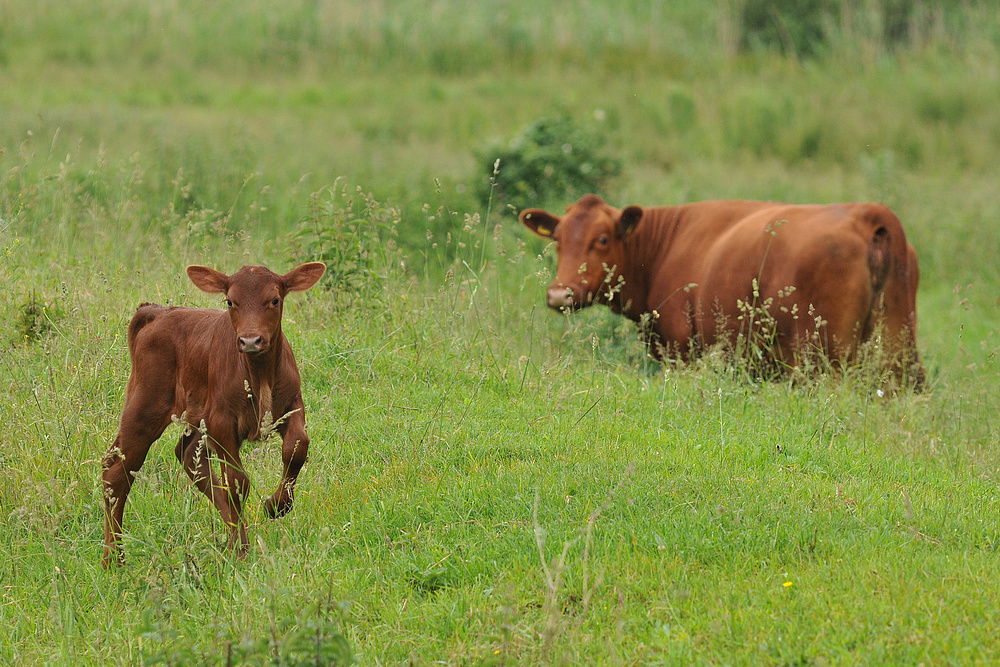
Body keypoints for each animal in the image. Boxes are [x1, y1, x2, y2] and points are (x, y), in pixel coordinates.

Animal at [100, 264, 324, 568]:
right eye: (230, 301)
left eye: (275, 300)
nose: (250, 340)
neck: (259, 374)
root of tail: (157, 311)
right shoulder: (223, 420)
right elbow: (237, 481)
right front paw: (241, 549)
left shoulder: (292, 406)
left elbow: (297, 448)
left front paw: (276, 506)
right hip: (145, 405)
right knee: (116, 472)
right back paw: (114, 559)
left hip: (196, 416)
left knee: (187, 456)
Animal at [524, 193, 920, 384]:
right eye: (557, 239)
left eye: (602, 239)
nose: (559, 294)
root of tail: (866, 213)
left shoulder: (681, 350)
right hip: (896, 354)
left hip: (824, 357)